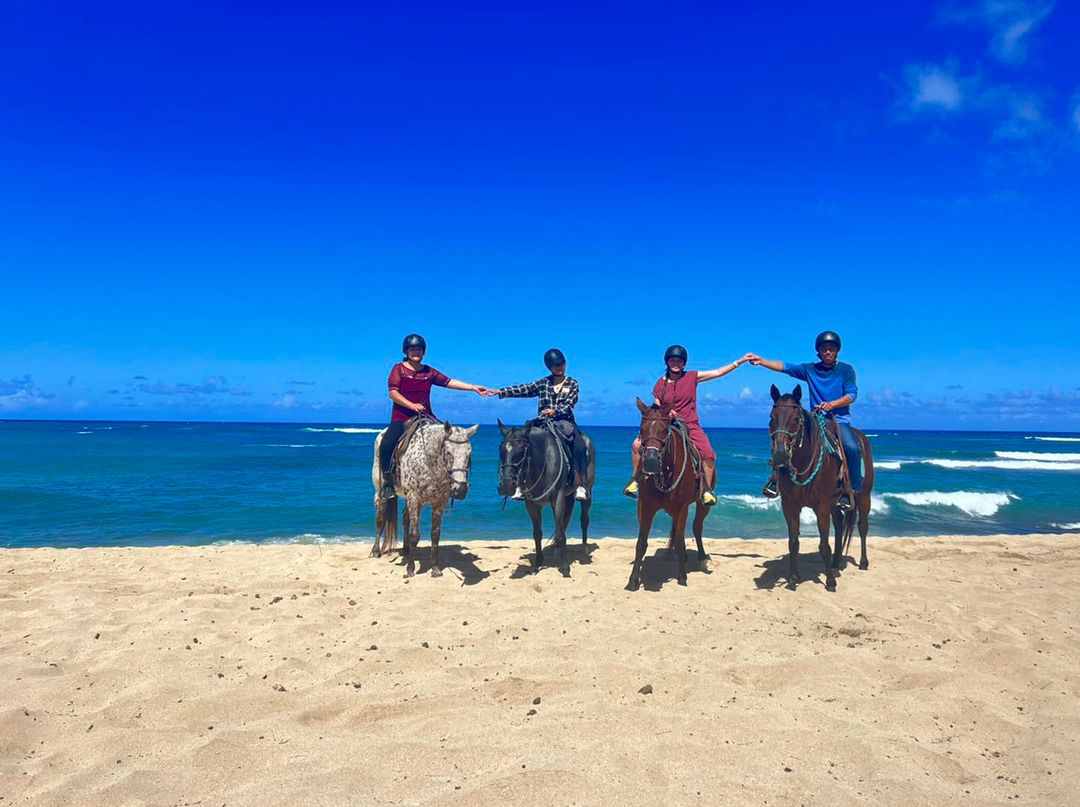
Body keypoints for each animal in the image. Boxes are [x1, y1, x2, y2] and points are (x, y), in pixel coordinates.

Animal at [371, 419, 477, 579]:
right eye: (448, 452)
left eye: (469, 454)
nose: (460, 490)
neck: (430, 462)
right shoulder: (415, 498)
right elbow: (415, 534)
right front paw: (410, 569)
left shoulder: (439, 502)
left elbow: (435, 535)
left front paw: (435, 568)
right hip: (381, 491)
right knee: (380, 517)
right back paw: (376, 550)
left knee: (405, 517)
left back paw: (406, 549)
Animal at [494, 419, 596, 579]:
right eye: (501, 448)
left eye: (522, 449)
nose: (506, 486)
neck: (544, 460)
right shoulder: (531, 504)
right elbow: (537, 534)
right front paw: (537, 564)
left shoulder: (558, 499)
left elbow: (560, 534)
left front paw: (565, 568)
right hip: (568, 496)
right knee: (564, 522)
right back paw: (556, 550)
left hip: (587, 491)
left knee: (583, 520)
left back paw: (584, 550)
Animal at [626, 401, 708, 592]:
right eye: (641, 429)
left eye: (664, 430)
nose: (650, 463)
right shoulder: (646, 506)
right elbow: (641, 543)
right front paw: (633, 580)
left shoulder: (682, 507)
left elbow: (680, 540)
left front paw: (682, 577)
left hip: (701, 505)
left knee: (696, 528)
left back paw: (700, 558)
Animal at [768, 382, 876, 592]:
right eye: (772, 418)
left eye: (795, 419)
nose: (780, 456)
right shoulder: (790, 505)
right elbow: (793, 542)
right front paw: (793, 578)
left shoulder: (822, 506)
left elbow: (824, 543)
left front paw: (830, 582)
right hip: (835, 503)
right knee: (840, 524)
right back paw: (835, 563)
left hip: (863, 496)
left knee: (862, 526)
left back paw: (862, 562)